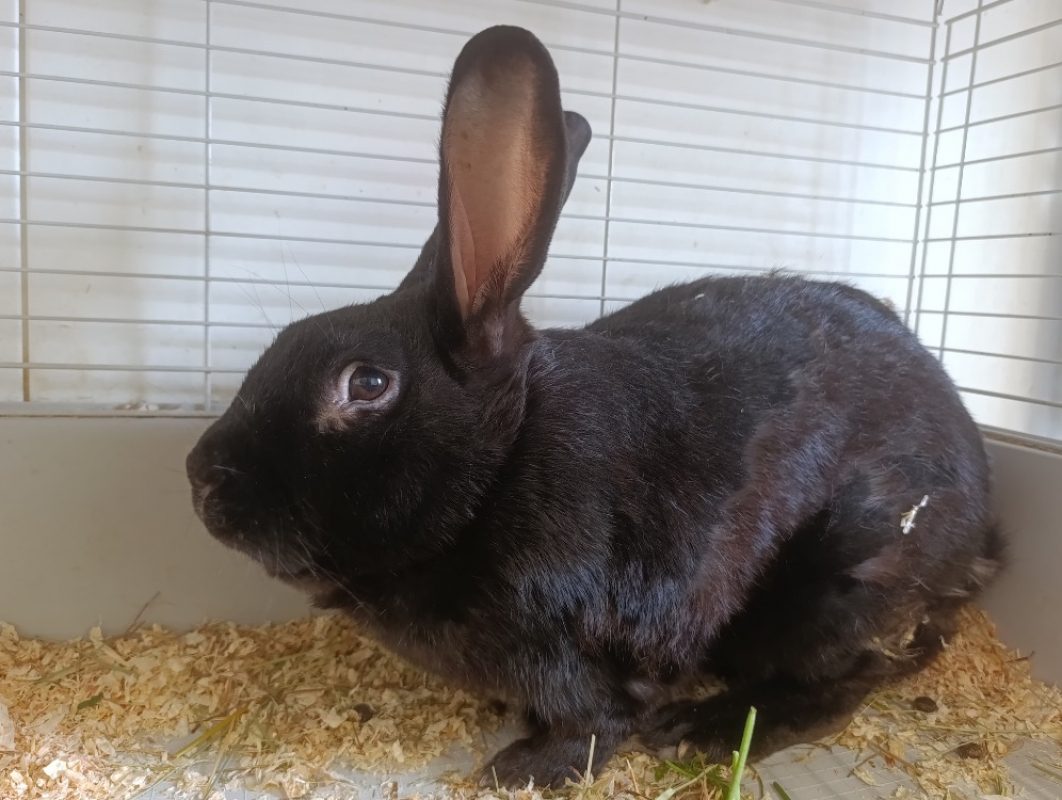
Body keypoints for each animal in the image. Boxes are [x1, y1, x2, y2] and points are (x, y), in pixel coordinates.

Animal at [186, 25, 1003, 789]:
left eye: (366, 385)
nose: (200, 476)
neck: (502, 461)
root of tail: (981, 535)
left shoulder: (572, 648)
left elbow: (596, 724)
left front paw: (520, 768)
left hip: (846, 580)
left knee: (842, 682)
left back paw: (704, 729)